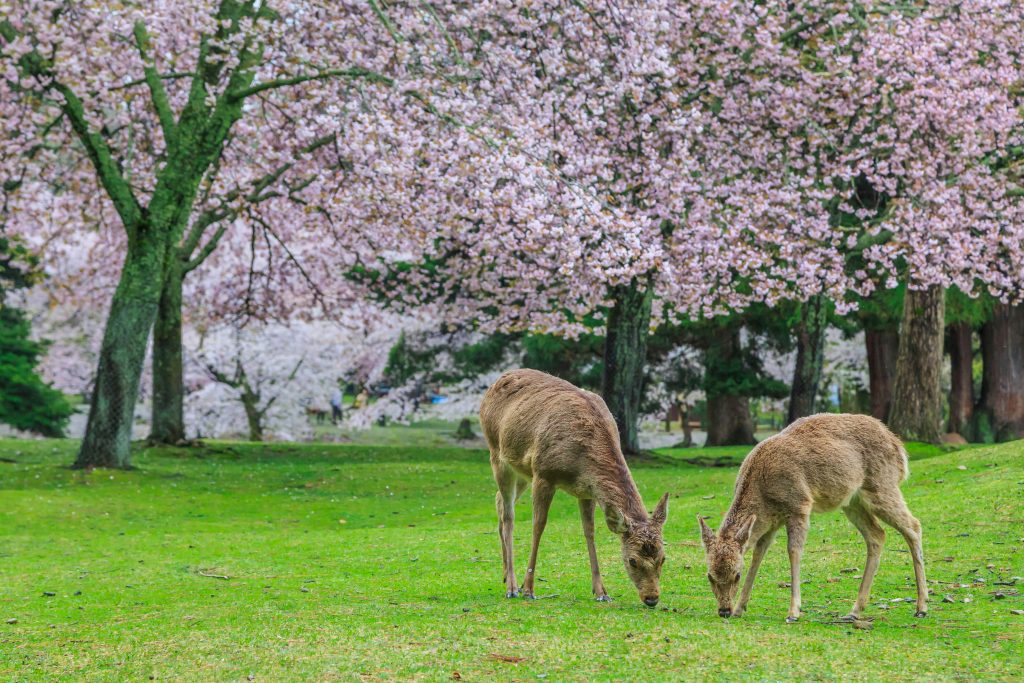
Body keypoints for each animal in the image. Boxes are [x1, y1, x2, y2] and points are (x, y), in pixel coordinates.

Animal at [480, 369, 669, 607]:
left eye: (663, 558)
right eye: (632, 560)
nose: (652, 598)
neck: (581, 465)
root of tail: (496, 381)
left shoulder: (586, 491)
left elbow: (589, 531)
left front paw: (601, 591)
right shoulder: (543, 474)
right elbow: (538, 525)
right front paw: (529, 588)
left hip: (521, 470)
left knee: (498, 501)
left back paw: (505, 575)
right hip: (497, 453)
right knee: (509, 516)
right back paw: (512, 586)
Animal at [697, 413, 927, 623]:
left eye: (737, 574)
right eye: (709, 575)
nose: (724, 611)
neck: (763, 496)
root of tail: (899, 448)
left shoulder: (799, 505)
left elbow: (794, 551)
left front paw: (793, 612)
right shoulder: (770, 522)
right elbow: (758, 555)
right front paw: (740, 608)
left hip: (882, 485)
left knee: (914, 525)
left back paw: (921, 607)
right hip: (852, 502)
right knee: (877, 534)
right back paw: (854, 611)